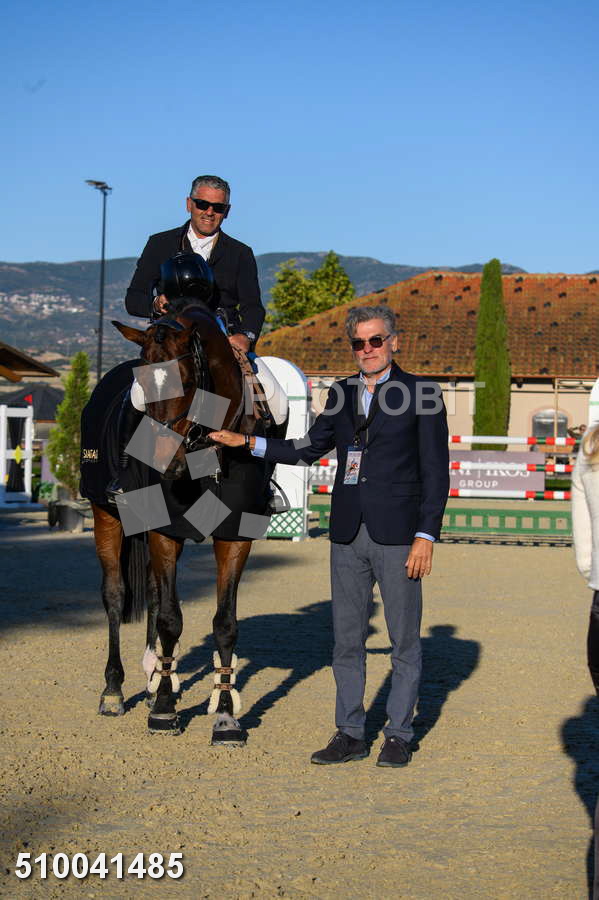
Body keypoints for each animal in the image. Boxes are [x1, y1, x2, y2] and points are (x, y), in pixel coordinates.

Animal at [83, 304, 285, 744]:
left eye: (190, 381)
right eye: (142, 384)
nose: (165, 465)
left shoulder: (235, 535)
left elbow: (224, 623)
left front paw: (224, 716)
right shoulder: (166, 531)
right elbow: (170, 619)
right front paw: (163, 711)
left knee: (153, 593)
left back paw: (155, 676)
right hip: (105, 515)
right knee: (114, 595)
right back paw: (114, 690)